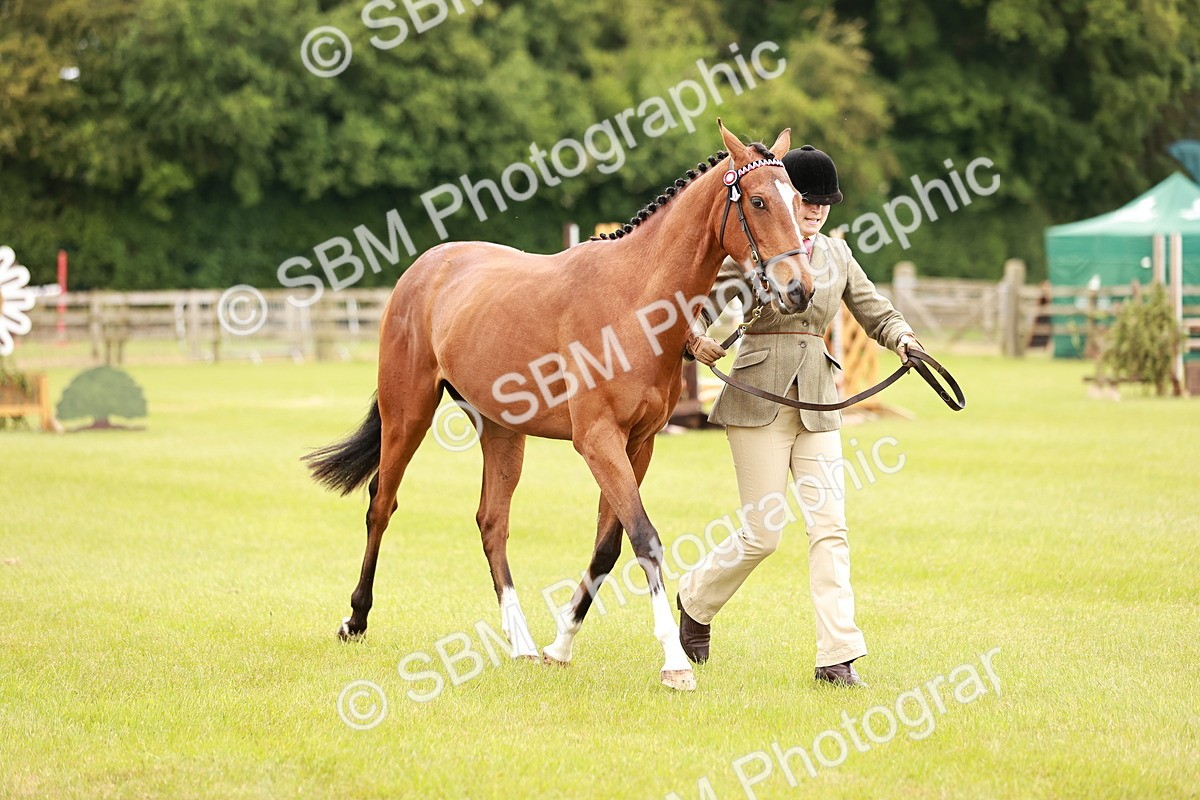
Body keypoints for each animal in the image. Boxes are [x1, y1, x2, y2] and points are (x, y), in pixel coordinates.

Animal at [304, 120, 815, 691]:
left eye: (798, 200)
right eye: (758, 201)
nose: (801, 290)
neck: (633, 302)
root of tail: (424, 268)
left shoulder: (637, 446)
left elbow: (608, 547)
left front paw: (561, 645)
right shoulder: (598, 442)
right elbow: (645, 538)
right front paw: (675, 663)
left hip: (502, 430)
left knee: (491, 522)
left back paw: (522, 642)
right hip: (407, 414)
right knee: (382, 504)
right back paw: (356, 619)